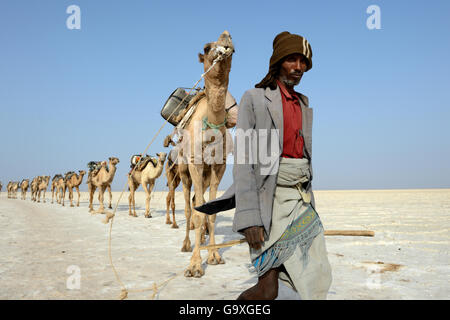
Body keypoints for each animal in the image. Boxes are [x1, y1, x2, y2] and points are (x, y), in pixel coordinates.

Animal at [173, 31, 236, 278]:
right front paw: (194, 266)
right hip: (183, 171)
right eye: (207, 47)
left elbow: (211, 212)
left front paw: (214, 256)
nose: (226, 36)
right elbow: (199, 213)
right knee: (188, 207)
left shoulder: (219, 167)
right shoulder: (195, 164)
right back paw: (185, 244)